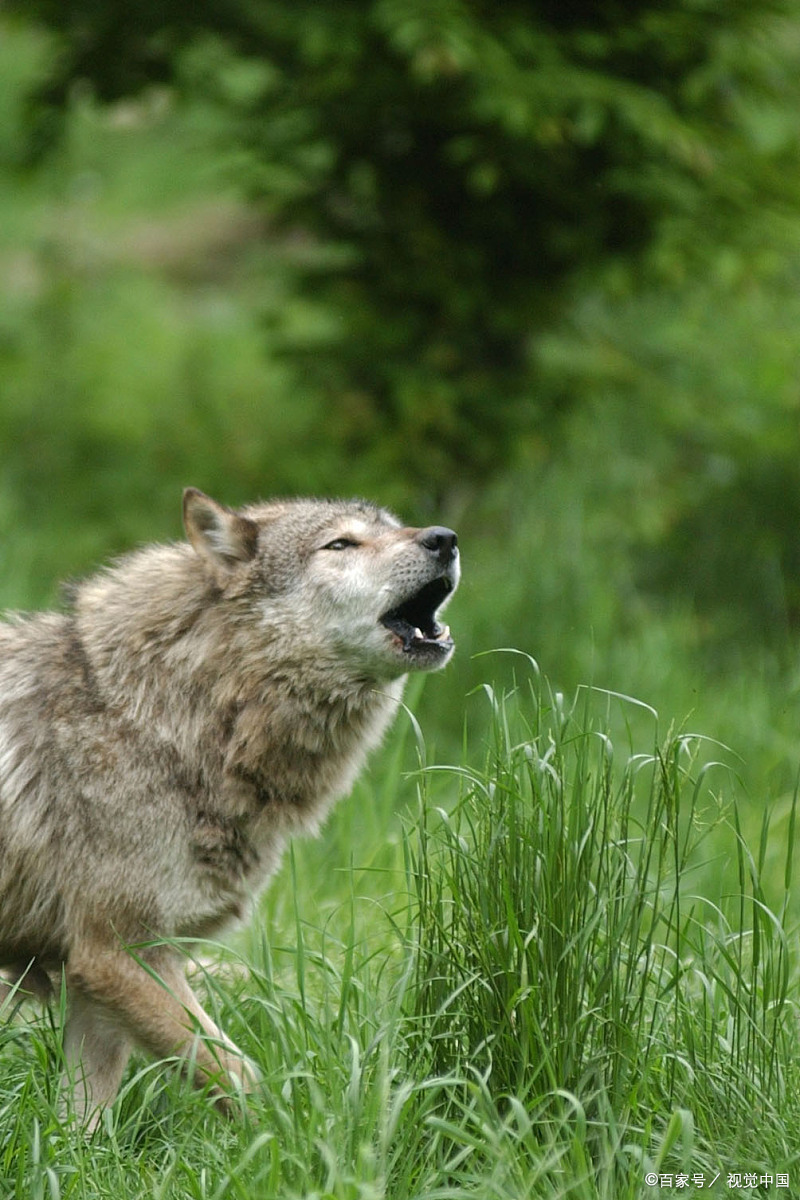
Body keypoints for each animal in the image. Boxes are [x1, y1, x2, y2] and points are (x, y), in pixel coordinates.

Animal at [0, 484, 460, 1123]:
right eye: (340, 544)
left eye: (395, 527)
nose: (445, 538)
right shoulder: (122, 952)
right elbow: (244, 1080)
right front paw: (307, 1136)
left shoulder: (96, 978)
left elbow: (80, 1124)